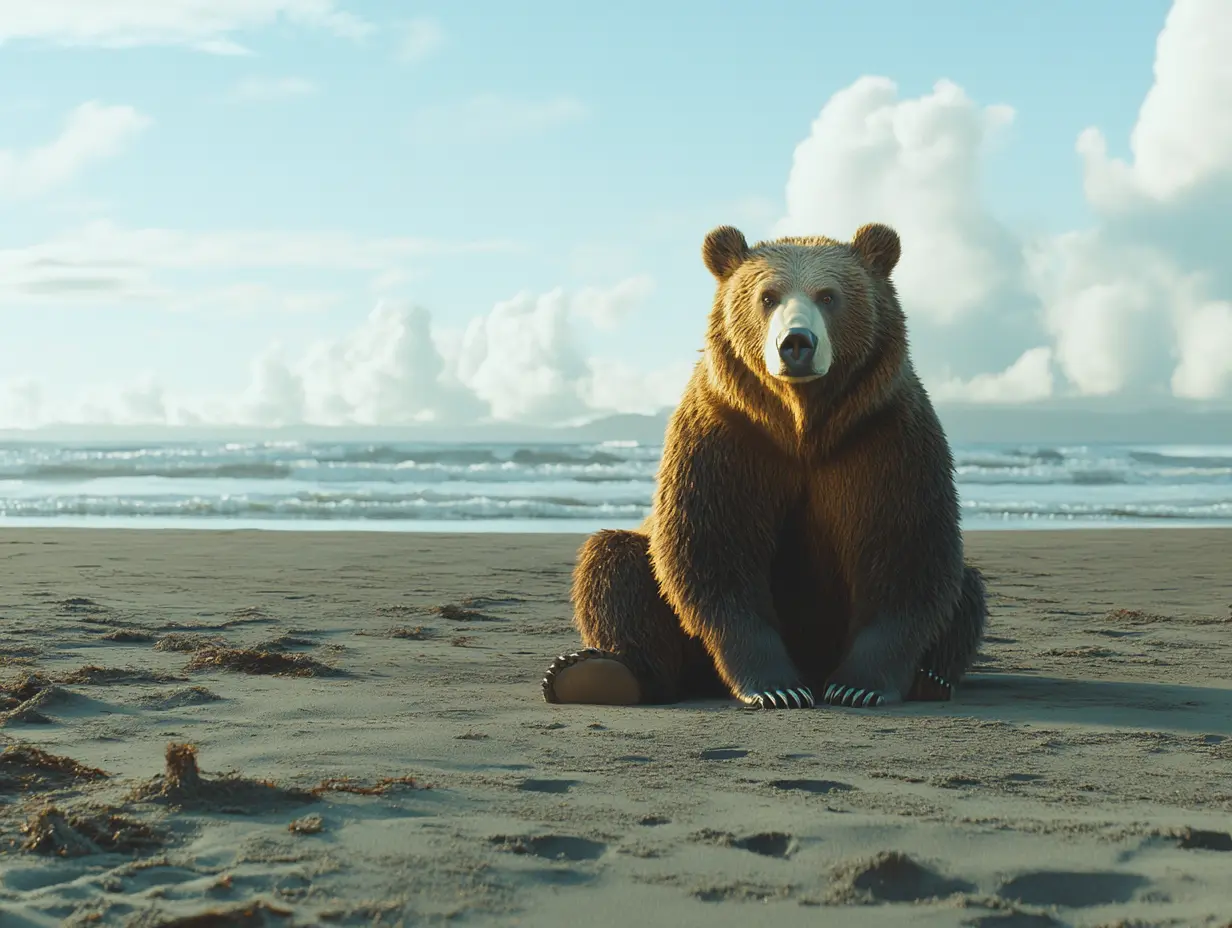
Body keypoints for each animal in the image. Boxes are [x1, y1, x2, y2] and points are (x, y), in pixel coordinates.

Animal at [540, 221, 987, 710]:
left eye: (828, 295)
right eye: (767, 296)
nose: (796, 343)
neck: (802, 428)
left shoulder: (882, 437)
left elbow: (903, 553)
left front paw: (858, 685)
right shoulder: (727, 438)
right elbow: (714, 553)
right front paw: (778, 687)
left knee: (966, 587)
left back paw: (931, 678)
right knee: (614, 562)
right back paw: (596, 673)